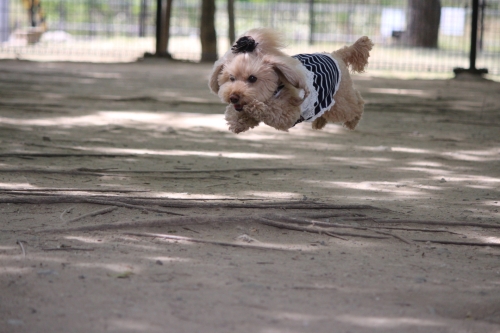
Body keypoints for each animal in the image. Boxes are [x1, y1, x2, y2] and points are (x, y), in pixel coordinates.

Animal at [209, 27, 374, 133]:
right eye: (231, 78)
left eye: (252, 78)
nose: (233, 97)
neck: (276, 89)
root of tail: (336, 54)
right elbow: (236, 117)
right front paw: (238, 122)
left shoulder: (288, 114)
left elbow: (272, 110)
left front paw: (254, 107)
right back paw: (319, 122)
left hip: (341, 101)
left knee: (356, 104)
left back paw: (353, 122)